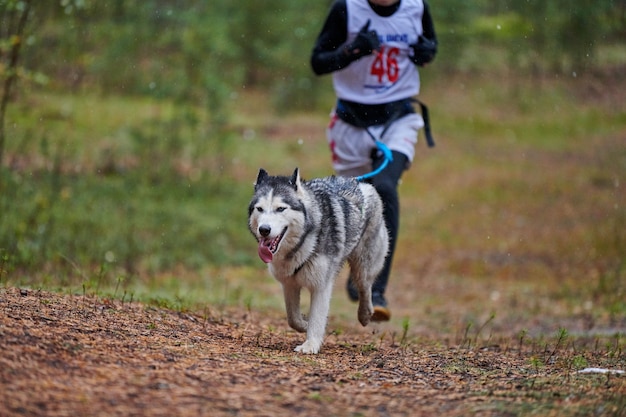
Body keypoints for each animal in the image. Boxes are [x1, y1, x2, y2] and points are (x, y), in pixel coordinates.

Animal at [247, 167, 386, 352]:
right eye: (260, 209)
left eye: (281, 209)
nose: (264, 230)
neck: (301, 244)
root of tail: (358, 182)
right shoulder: (289, 283)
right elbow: (292, 318)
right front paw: (304, 324)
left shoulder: (321, 285)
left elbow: (317, 317)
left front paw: (310, 345)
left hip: (363, 266)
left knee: (365, 287)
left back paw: (365, 314)